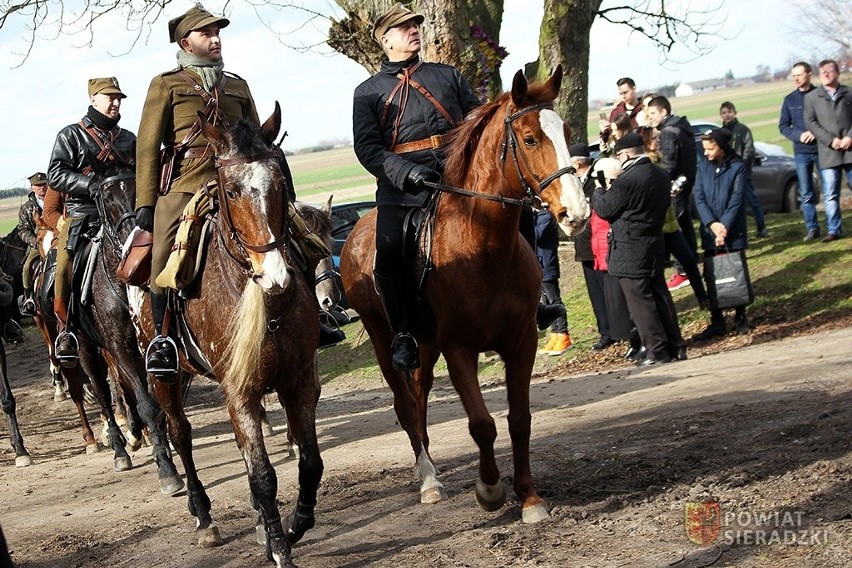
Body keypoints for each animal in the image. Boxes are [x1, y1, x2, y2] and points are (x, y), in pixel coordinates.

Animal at [131, 104, 322, 564]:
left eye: (280, 182)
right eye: (232, 191)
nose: (276, 276)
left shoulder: (298, 380)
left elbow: (309, 462)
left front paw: (293, 524)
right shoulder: (239, 389)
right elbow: (263, 475)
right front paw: (280, 548)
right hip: (164, 376)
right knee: (180, 434)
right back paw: (203, 516)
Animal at [338, 66, 584, 524]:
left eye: (566, 131)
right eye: (529, 139)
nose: (575, 212)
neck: (482, 244)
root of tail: (353, 235)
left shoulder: (521, 343)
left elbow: (519, 419)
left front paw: (530, 498)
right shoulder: (459, 349)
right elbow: (482, 424)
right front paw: (489, 491)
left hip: (425, 346)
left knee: (419, 399)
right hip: (386, 341)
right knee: (404, 406)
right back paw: (428, 481)